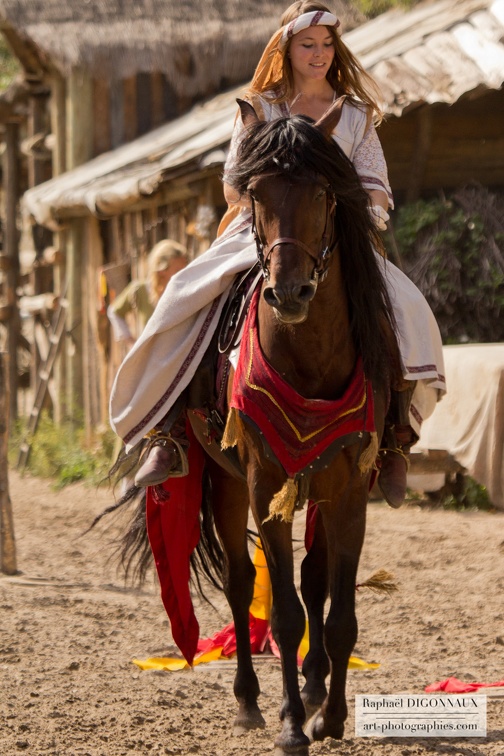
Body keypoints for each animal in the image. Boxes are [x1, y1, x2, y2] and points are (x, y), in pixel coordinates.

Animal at [107, 97, 398, 752]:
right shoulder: (265, 485)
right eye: (257, 193)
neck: (310, 357)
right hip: (225, 480)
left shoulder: (348, 489)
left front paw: (329, 716)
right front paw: (293, 725)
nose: (289, 293)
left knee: (312, 582)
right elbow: (285, 614)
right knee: (243, 585)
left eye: (323, 191)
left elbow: (338, 614)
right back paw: (249, 701)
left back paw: (312, 688)